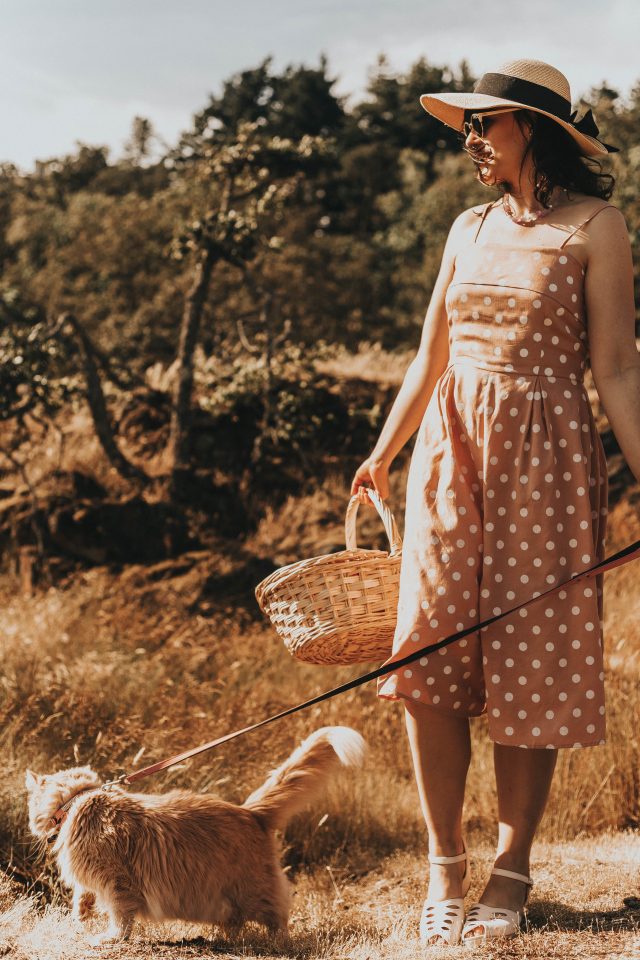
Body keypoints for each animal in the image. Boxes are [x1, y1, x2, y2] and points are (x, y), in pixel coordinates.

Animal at [26, 724, 364, 940]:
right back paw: (225, 939)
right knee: (238, 921)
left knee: (278, 914)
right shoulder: (94, 876)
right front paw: (80, 916)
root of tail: (250, 811)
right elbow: (83, 897)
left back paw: (278, 943)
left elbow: (120, 916)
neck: (79, 800)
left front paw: (110, 938)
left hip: (255, 888)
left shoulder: (118, 880)